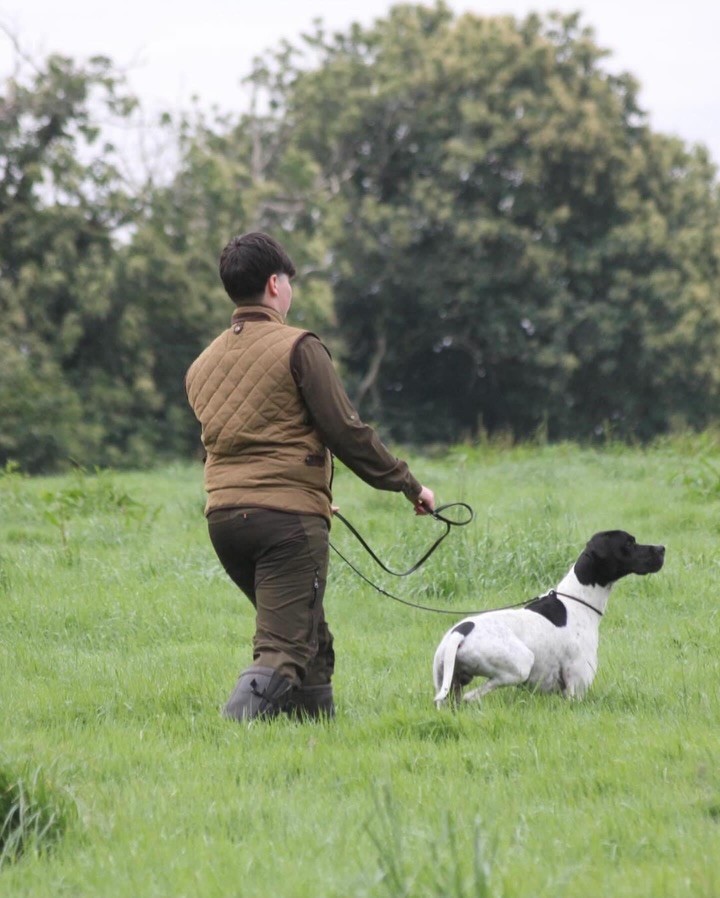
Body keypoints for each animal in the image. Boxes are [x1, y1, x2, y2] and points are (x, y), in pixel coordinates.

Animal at [434, 524, 664, 708]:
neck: (577, 600)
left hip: (446, 678)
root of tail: (460, 632)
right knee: (476, 693)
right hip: (522, 664)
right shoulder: (576, 687)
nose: (662, 548)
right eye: (629, 543)